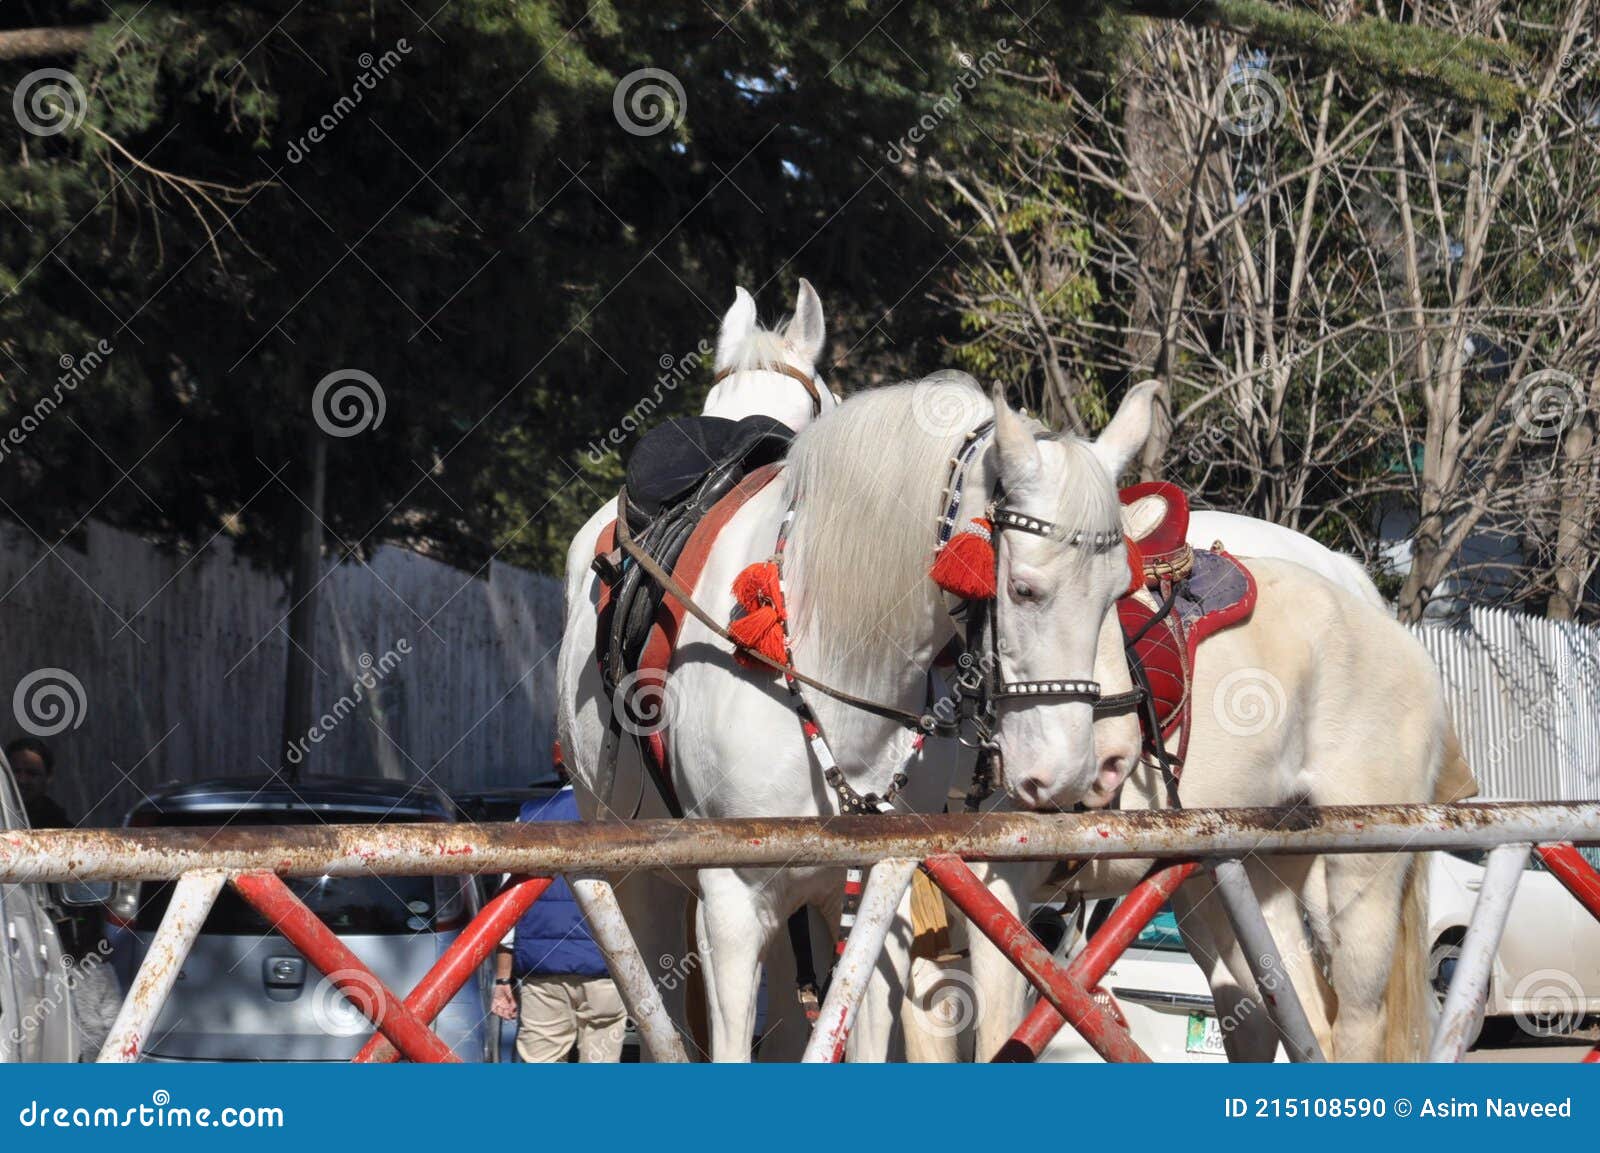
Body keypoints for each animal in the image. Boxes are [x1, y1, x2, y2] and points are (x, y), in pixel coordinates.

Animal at [558, 372, 1151, 1059]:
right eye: (1024, 589)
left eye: (1118, 592)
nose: (1078, 772)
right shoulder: (729, 905)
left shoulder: (879, 894)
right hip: (637, 879)